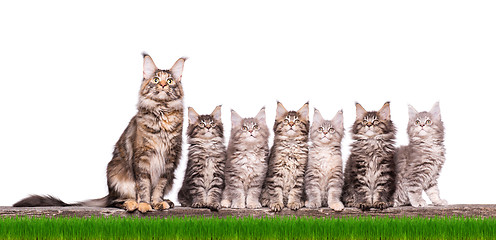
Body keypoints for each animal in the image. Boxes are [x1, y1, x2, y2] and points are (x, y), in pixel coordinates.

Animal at [15, 53, 188, 213]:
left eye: (170, 81)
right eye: (156, 80)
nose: (164, 85)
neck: (162, 113)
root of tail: (110, 193)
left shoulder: (169, 162)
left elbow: (158, 187)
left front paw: (157, 202)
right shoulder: (142, 159)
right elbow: (144, 186)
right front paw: (144, 205)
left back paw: (166, 202)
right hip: (116, 173)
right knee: (116, 201)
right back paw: (131, 204)